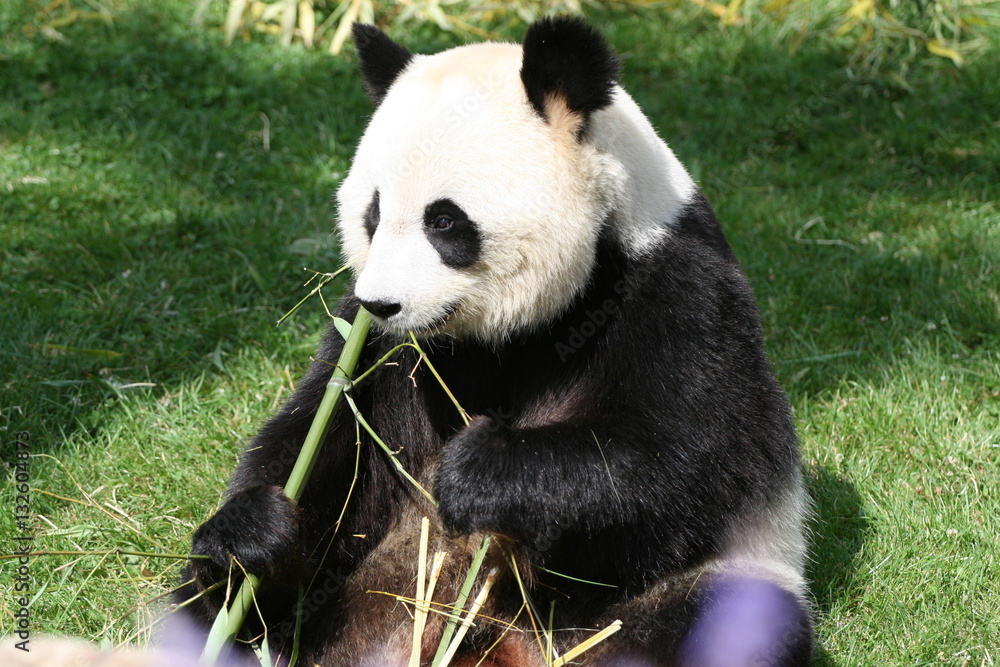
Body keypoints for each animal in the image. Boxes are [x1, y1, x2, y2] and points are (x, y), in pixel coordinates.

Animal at [178, 17, 813, 667]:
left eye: (444, 221)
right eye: (372, 215)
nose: (383, 304)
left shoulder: (677, 289)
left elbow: (684, 458)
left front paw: (478, 471)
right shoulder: (380, 351)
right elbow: (325, 441)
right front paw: (256, 534)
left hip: (664, 602)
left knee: (725, 621)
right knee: (205, 608)